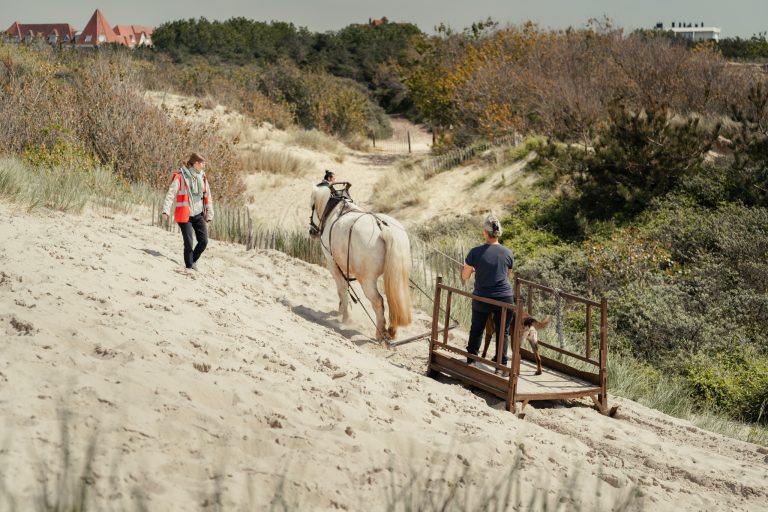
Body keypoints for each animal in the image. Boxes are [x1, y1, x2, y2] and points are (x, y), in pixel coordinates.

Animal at [309, 183, 412, 341]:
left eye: (312, 206)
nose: (311, 231)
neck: (336, 210)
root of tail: (382, 227)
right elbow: (345, 288)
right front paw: (342, 309)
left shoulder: (333, 263)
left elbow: (342, 289)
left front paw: (346, 317)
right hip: (398, 275)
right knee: (395, 299)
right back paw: (392, 330)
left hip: (367, 279)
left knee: (378, 301)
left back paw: (380, 332)